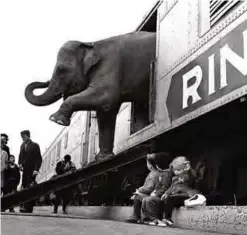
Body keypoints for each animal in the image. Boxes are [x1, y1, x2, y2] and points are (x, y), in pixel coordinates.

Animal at [25, 31, 156, 162]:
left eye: (62, 70)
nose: (45, 81)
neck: (90, 43)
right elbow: (106, 112)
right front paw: (103, 158)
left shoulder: (110, 65)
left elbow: (106, 97)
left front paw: (57, 120)